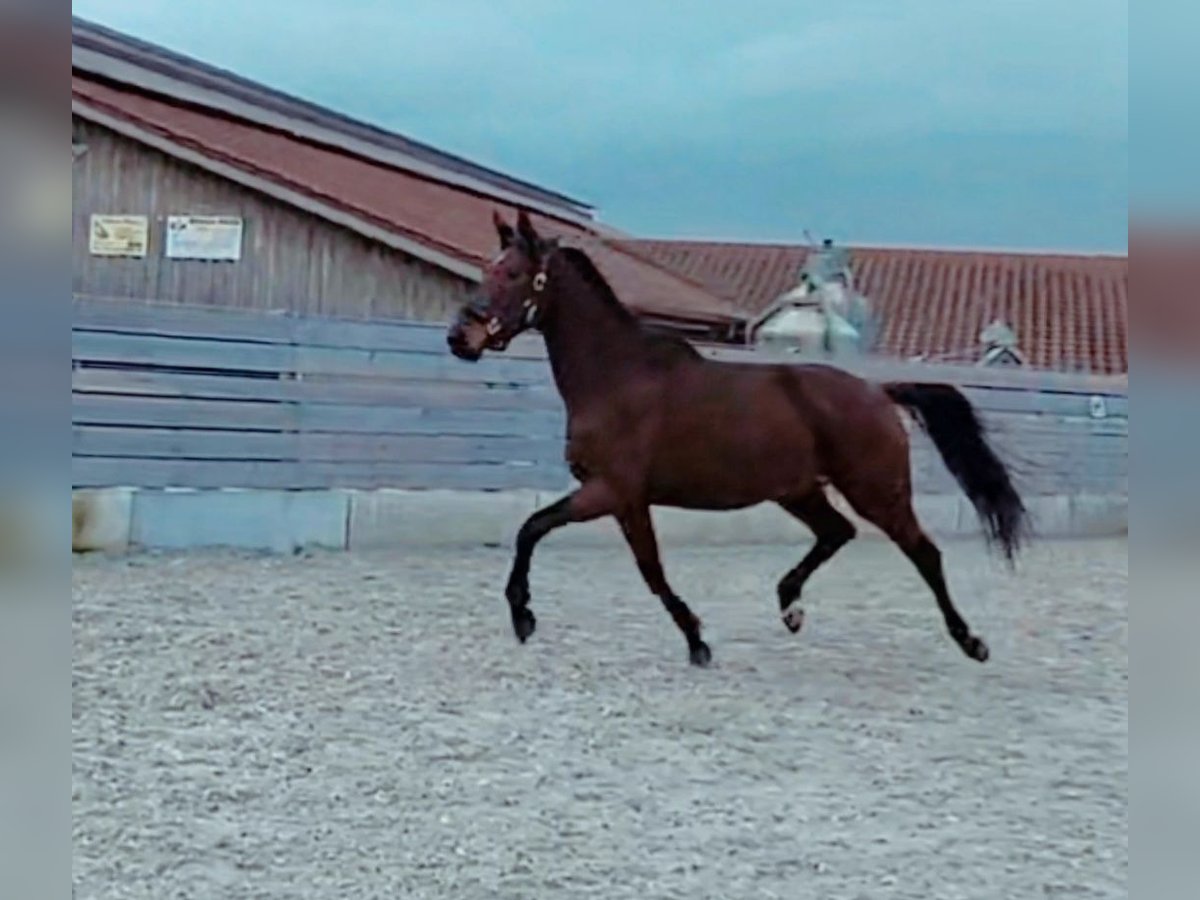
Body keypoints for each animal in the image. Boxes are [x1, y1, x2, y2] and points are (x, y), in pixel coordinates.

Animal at [446, 207, 1027, 667]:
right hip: (798, 490)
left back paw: (971, 641)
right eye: (488, 270)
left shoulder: (613, 493)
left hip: (876, 491)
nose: (459, 337)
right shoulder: (620, 498)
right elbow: (565, 540)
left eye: (513, 273)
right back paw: (790, 606)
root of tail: (877, 392)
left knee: (922, 552)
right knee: (837, 532)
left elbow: (568, 540)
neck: (617, 377)